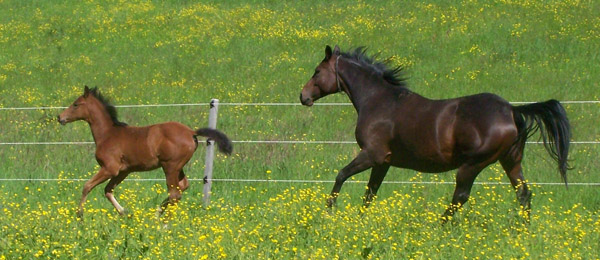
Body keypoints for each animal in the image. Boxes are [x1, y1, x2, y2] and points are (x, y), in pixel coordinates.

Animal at [58, 86, 232, 218]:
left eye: (76, 104)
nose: (60, 117)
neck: (108, 134)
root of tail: (191, 132)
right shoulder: (124, 171)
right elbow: (108, 190)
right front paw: (125, 213)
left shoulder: (110, 168)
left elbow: (87, 186)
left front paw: (80, 215)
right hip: (178, 167)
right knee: (182, 187)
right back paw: (157, 214)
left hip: (170, 166)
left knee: (175, 194)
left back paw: (163, 223)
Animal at [302, 45, 568, 220]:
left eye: (317, 71)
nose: (303, 96)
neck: (378, 100)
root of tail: (511, 110)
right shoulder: (384, 162)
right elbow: (370, 193)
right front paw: (359, 221)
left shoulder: (371, 154)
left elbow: (341, 175)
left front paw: (328, 210)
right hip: (510, 160)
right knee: (523, 194)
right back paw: (522, 231)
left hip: (473, 164)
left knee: (460, 197)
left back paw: (441, 228)